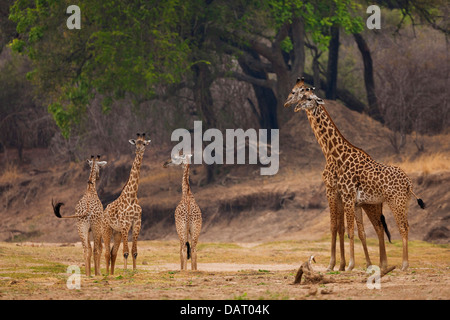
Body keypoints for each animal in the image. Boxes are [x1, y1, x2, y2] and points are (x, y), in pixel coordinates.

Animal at [102, 132, 150, 276]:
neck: (132, 196)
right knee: (107, 252)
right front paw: (125, 271)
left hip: (117, 232)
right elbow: (125, 252)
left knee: (113, 253)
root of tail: (104, 212)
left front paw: (134, 270)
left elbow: (134, 252)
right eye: (136, 143)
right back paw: (107, 274)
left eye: (144, 143)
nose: (138, 150)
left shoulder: (136, 223)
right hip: (107, 228)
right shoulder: (125, 224)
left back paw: (112, 273)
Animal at [284, 79, 426, 272]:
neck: (333, 154)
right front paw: (345, 265)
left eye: (307, 97)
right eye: (298, 93)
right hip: (397, 203)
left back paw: (403, 265)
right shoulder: (349, 198)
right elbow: (352, 230)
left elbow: (344, 229)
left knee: (402, 227)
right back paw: (383, 265)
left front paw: (345, 265)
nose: (292, 105)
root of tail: (409, 184)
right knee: (384, 227)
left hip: (395, 201)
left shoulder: (342, 194)